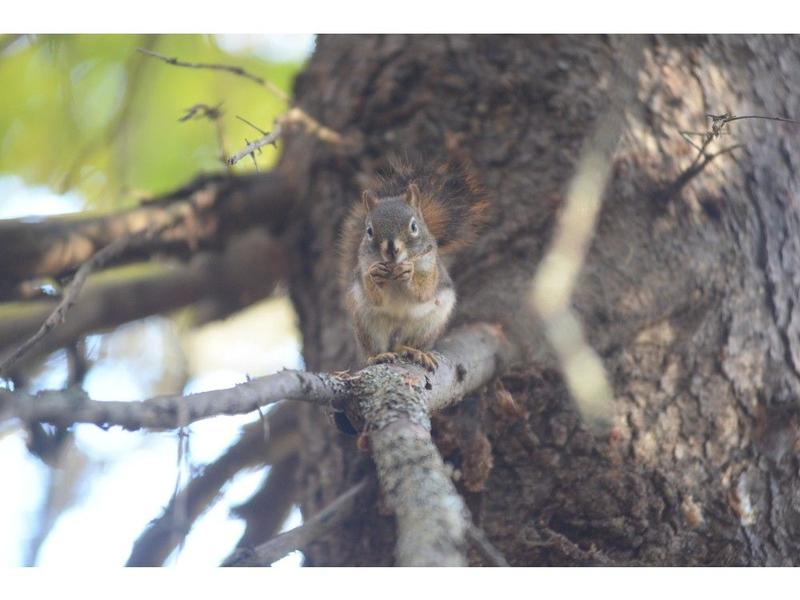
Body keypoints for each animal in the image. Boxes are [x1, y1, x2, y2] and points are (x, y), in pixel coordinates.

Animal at [339, 157, 490, 371]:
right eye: (369, 231)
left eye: (413, 226)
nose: (392, 250)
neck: (393, 271)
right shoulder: (363, 268)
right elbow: (375, 296)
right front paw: (375, 275)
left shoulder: (431, 269)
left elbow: (424, 292)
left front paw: (409, 273)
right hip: (367, 323)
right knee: (375, 348)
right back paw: (378, 356)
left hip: (428, 325)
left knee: (406, 344)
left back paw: (415, 351)